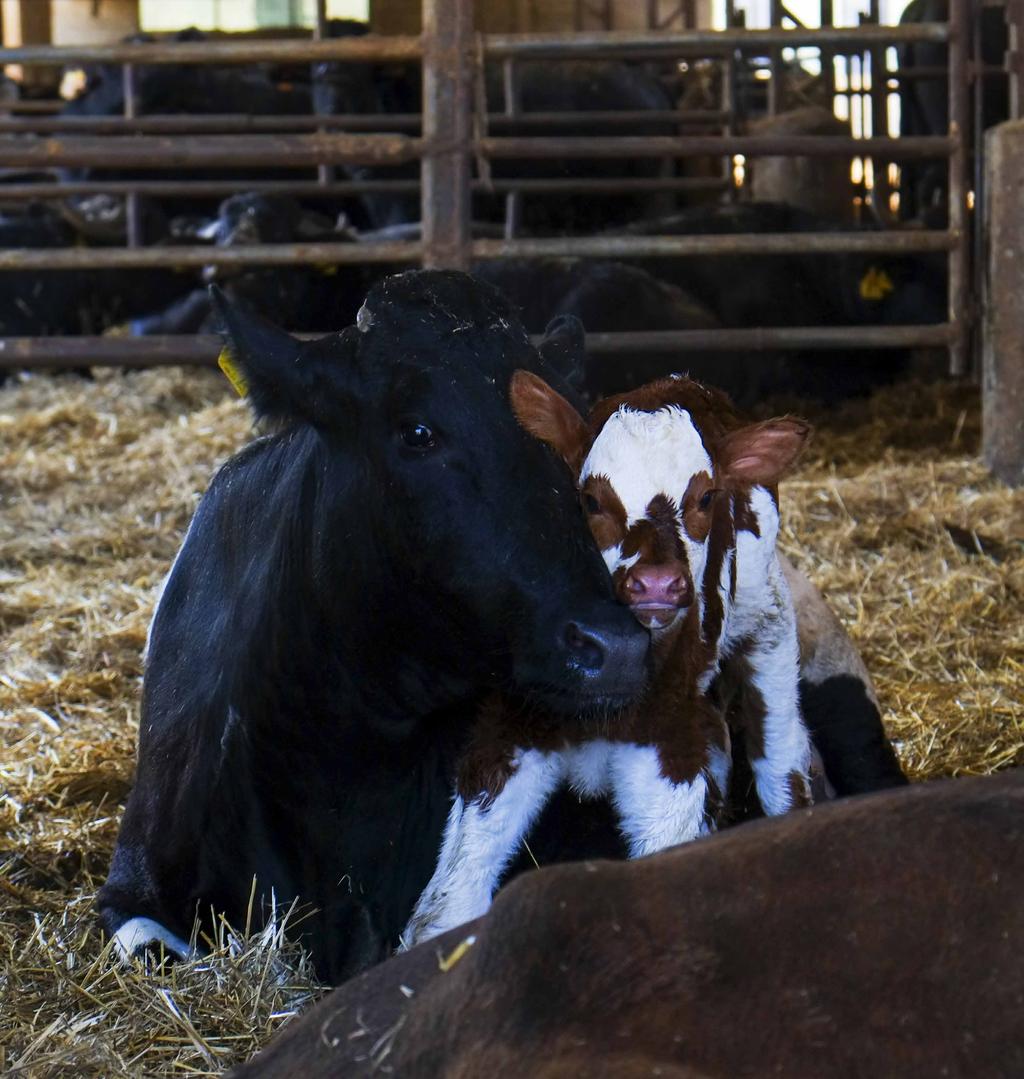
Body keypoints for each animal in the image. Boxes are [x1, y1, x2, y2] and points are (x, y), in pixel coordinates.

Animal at [403, 377, 811, 945]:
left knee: (780, 754)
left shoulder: (666, 751)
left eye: (706, 497)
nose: (657, 585)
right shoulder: (510, 731)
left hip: (766, 614)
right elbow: (445, 907)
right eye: (591, 500)